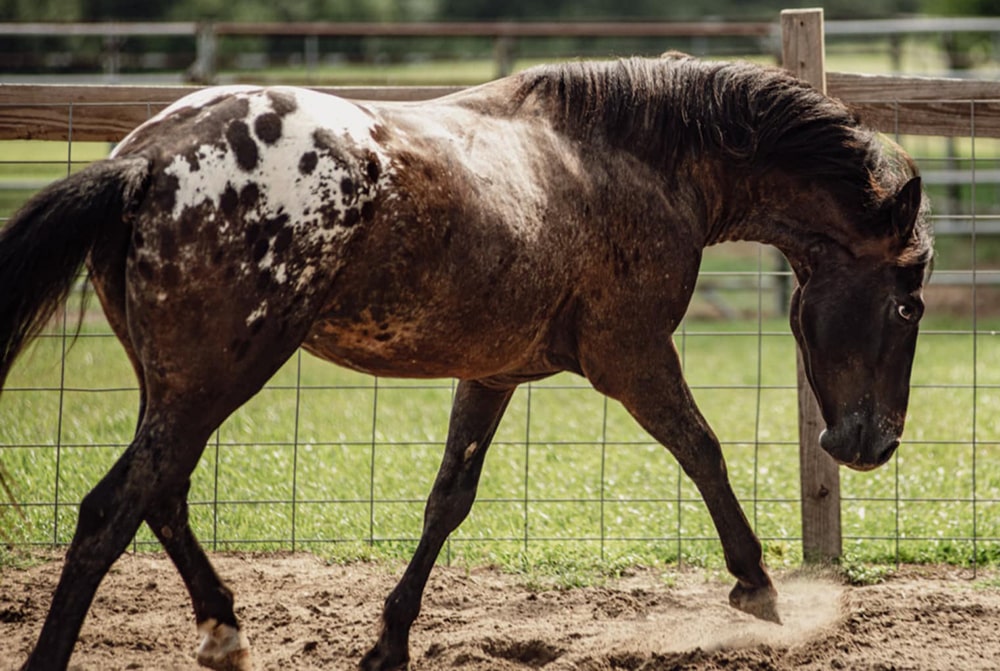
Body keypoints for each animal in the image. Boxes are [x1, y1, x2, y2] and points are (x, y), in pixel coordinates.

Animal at [3, 53, 932, 671]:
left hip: (176, 384)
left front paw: (389, 641)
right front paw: (760, 589)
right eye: (909, 305)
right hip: (215, 377)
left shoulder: (491, 373)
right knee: (111, 510)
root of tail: (148, 159)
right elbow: (703, 451)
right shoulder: (630, 355)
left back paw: (225, 628)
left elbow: (448, 499)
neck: (637, 158)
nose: (875, 444)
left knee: (160, 494)